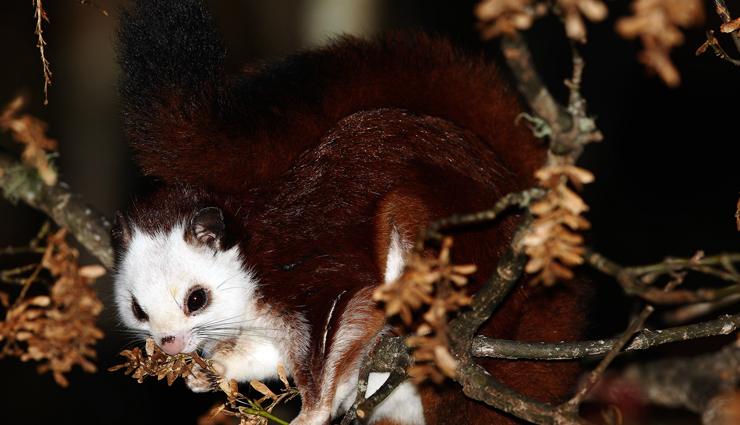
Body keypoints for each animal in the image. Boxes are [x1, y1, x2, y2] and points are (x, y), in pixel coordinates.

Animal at [111, 0, 589, 424]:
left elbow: (348, 317)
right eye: (138, 310)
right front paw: (210, 371)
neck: (251, 255)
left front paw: (314, 412)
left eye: (197, 299)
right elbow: (266, 353)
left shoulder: (312, 269)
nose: (170, 344)